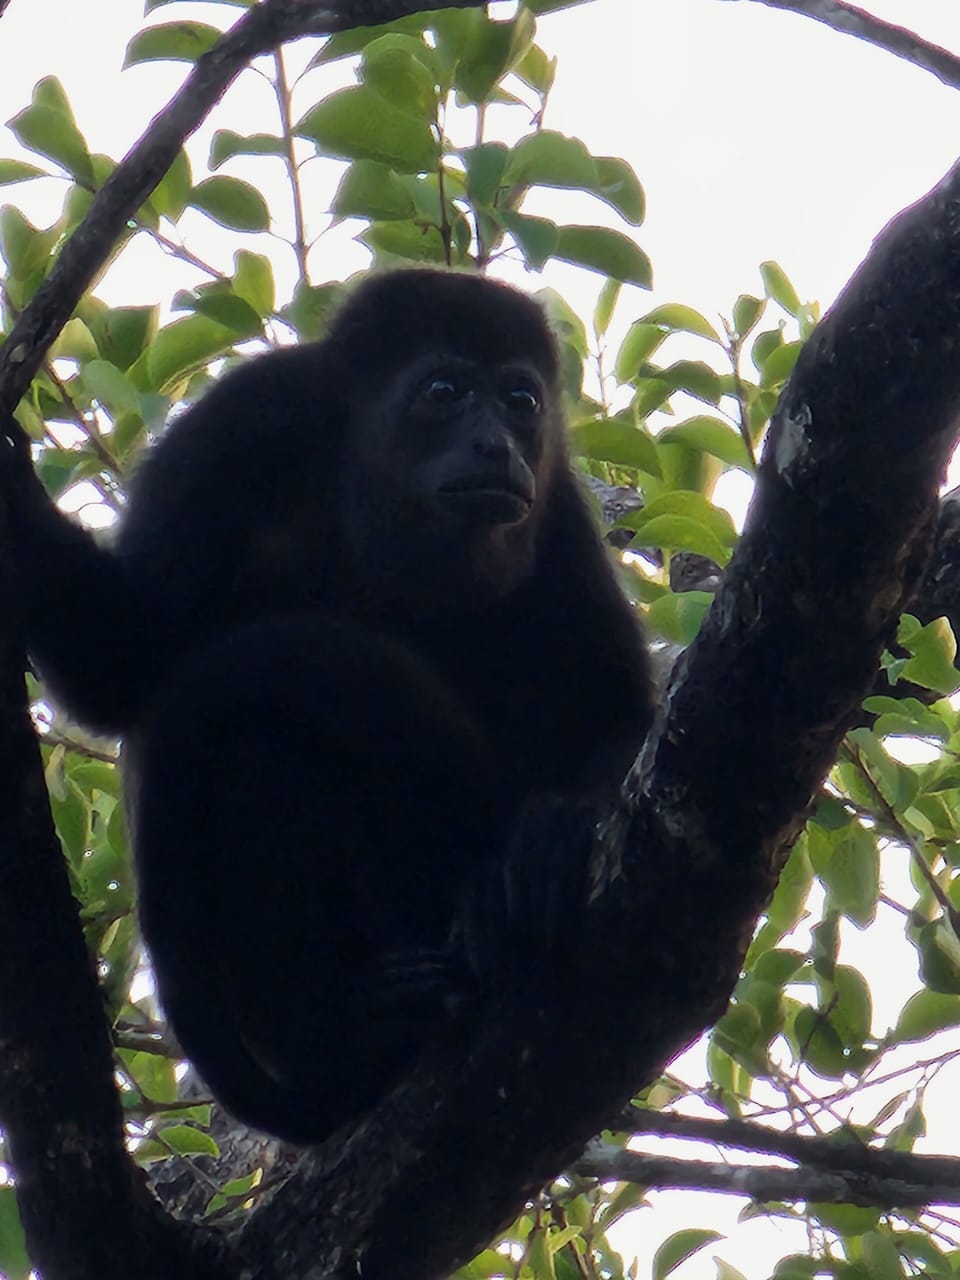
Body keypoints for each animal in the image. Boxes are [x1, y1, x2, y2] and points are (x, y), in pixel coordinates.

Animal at [1, 269, 654, 1143]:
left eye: (521, 399)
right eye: (444, 391)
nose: (499, 445)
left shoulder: (556, 510)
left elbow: (620, 711)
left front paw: (560, 826)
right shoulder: (235, 426)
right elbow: (123, 663)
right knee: (255, 751)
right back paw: (353, 1038)